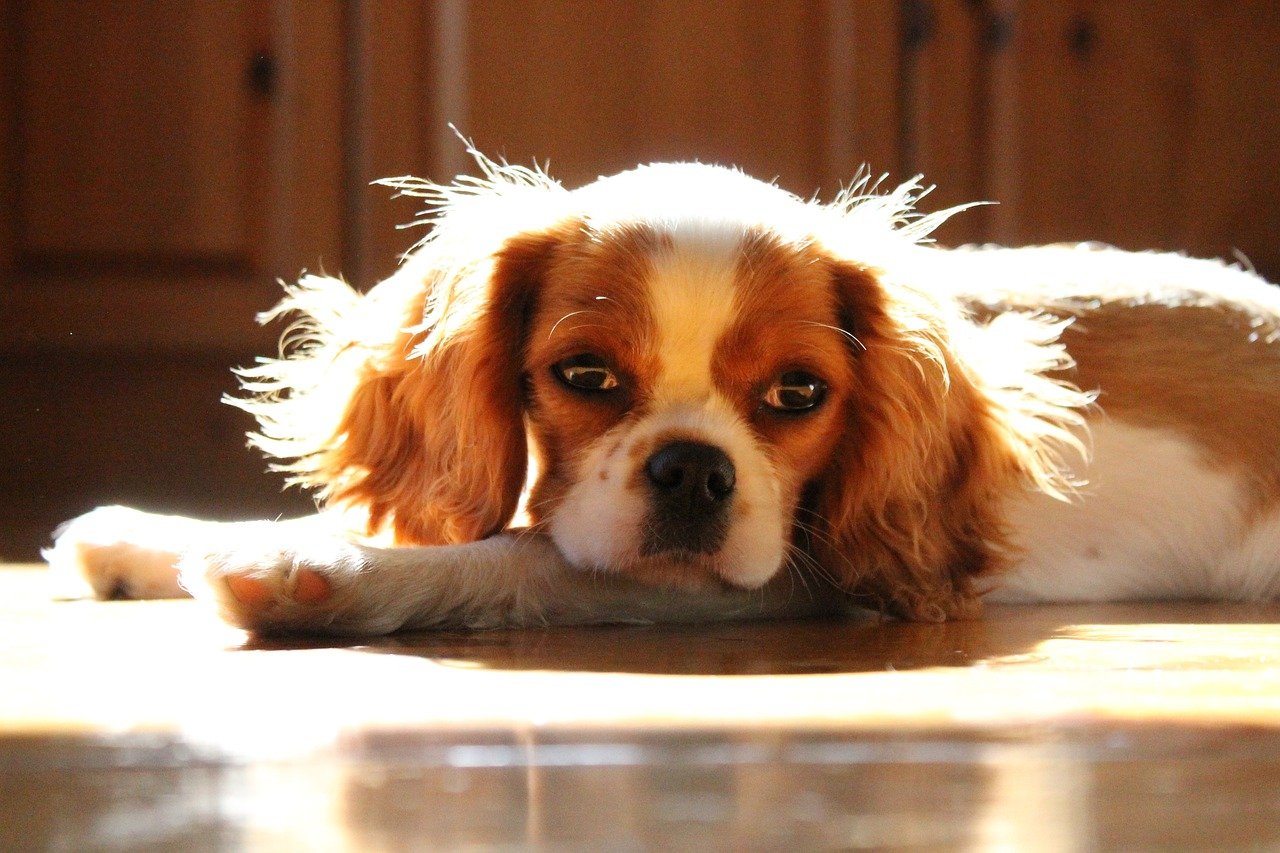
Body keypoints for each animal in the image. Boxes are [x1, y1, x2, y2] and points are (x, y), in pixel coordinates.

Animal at [45, 153, 1280, 630]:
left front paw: (318, 568)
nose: (693, 468)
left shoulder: (789, 578)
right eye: (584, 376)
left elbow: (513, 559)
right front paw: (145, 538)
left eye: (798, 392)